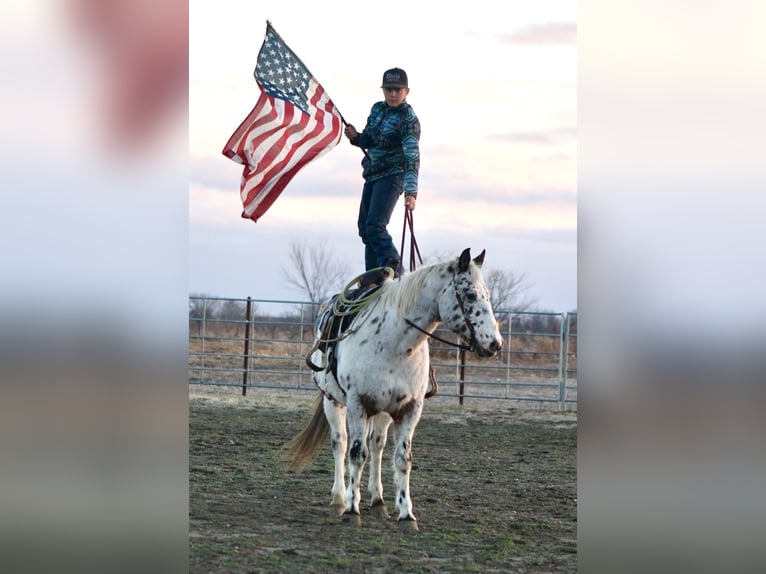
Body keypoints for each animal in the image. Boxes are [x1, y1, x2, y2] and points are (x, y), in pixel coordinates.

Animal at [286, 250, 504, 532]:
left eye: (486, 294)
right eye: (469, 295)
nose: (495, 343)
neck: (396, 343)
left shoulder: (409, 409)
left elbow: (402, 458)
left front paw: (406, 514)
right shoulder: (358, 404)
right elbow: (356, 455)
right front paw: (352, 509)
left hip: (381, 413)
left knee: (377, 446)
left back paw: (377, 501)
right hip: (333, 402)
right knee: (341, 444)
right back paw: (339, 499)